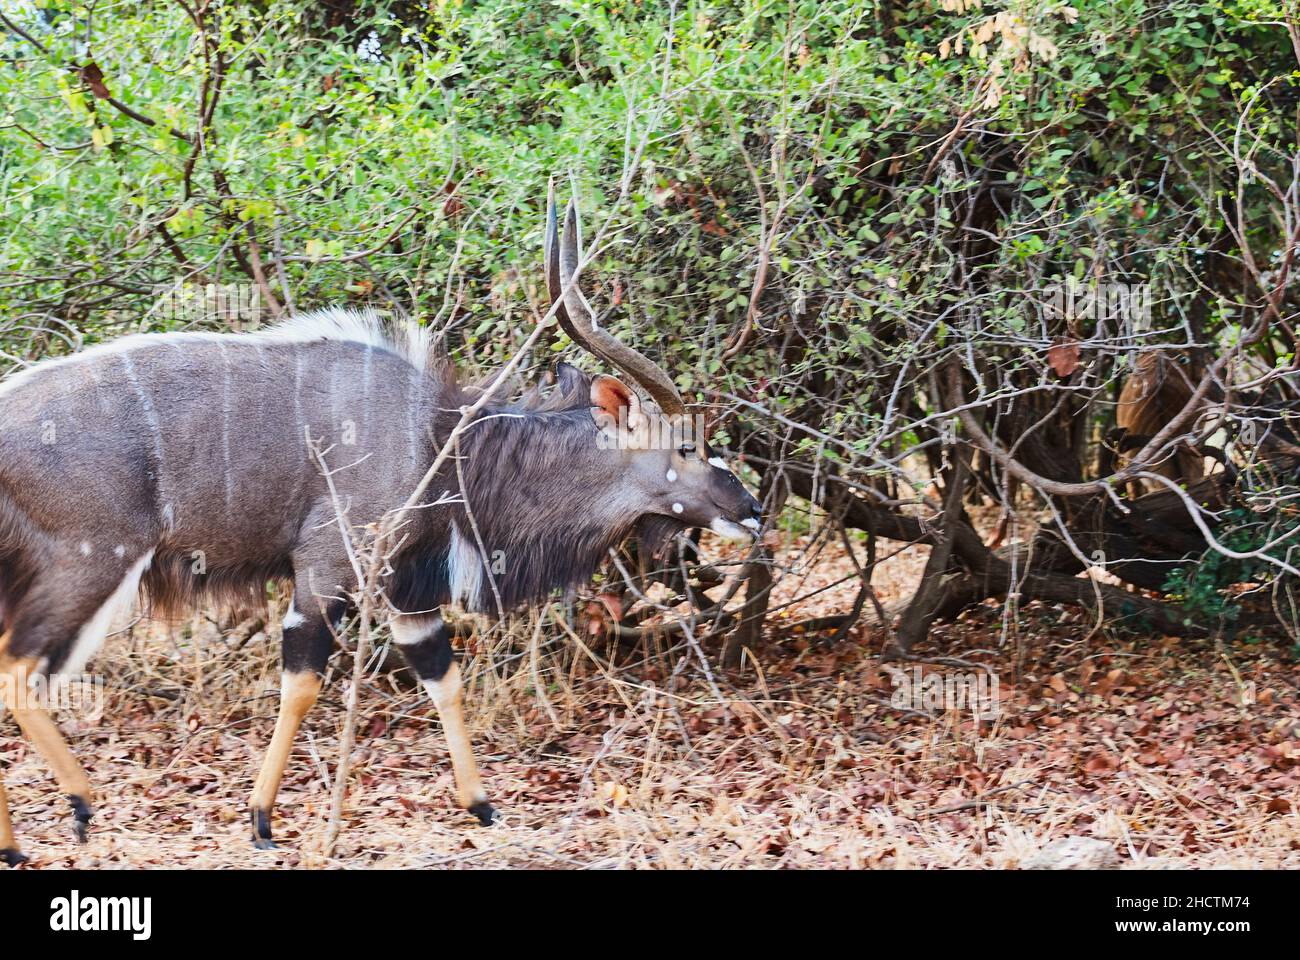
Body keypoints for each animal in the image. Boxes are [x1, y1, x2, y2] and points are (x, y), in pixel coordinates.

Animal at [0, 184, 759, 858]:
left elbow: (441, 675)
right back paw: (79, 804)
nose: (749, 510)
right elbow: (304, 680)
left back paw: (20, 841)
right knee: (19, 667)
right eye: (685, 446)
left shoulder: (406, 589)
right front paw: (262, 820)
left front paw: (482, 806)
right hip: (92, 560)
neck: (445, 446)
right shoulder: (326, 567)